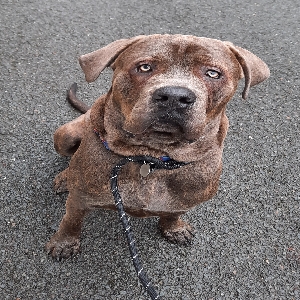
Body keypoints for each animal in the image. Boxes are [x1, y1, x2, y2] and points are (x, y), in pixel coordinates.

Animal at [46, 33, 270, 258]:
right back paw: (64, 178)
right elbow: (71, 220)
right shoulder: (79, 199)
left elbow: (173, 214)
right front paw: (65, 242)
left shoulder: (184, 200)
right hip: (65, 135)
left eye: (213, 73)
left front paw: (174, 228)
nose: (174, 96)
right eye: (144, 67)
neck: (152, 157)